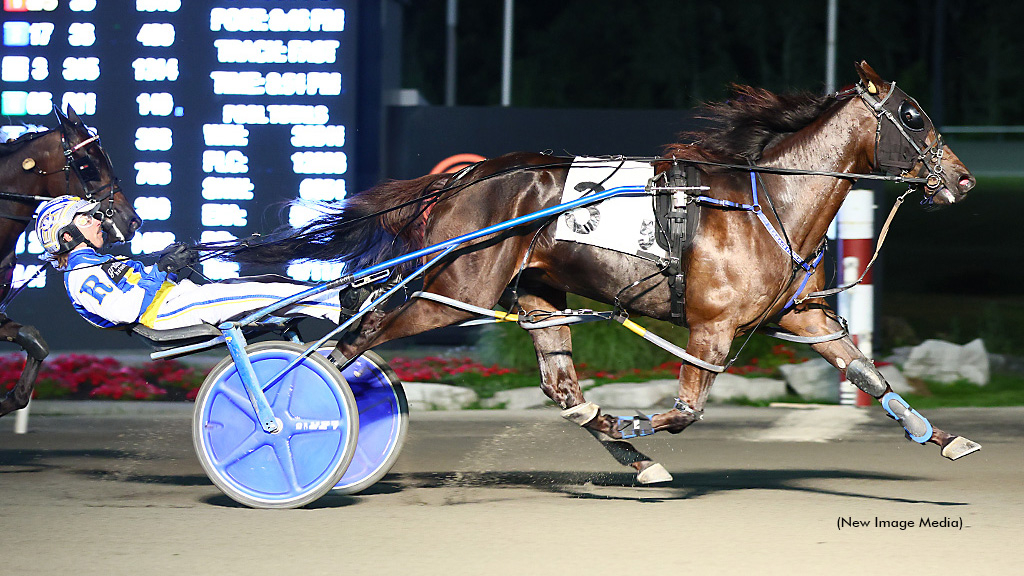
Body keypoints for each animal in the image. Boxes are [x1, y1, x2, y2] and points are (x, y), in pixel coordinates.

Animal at [228, 61, 978, 479]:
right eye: (913, 115)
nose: (964, 180)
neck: (767, 201)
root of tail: (468, 176)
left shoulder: (802, 314)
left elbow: (868, 374)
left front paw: (940, 437)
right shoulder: (710, 328)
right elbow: (685, 411)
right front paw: (634, 425)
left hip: (537, 293)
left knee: (560, 386)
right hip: (454, 287)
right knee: (358, 334)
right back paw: (286, 415)